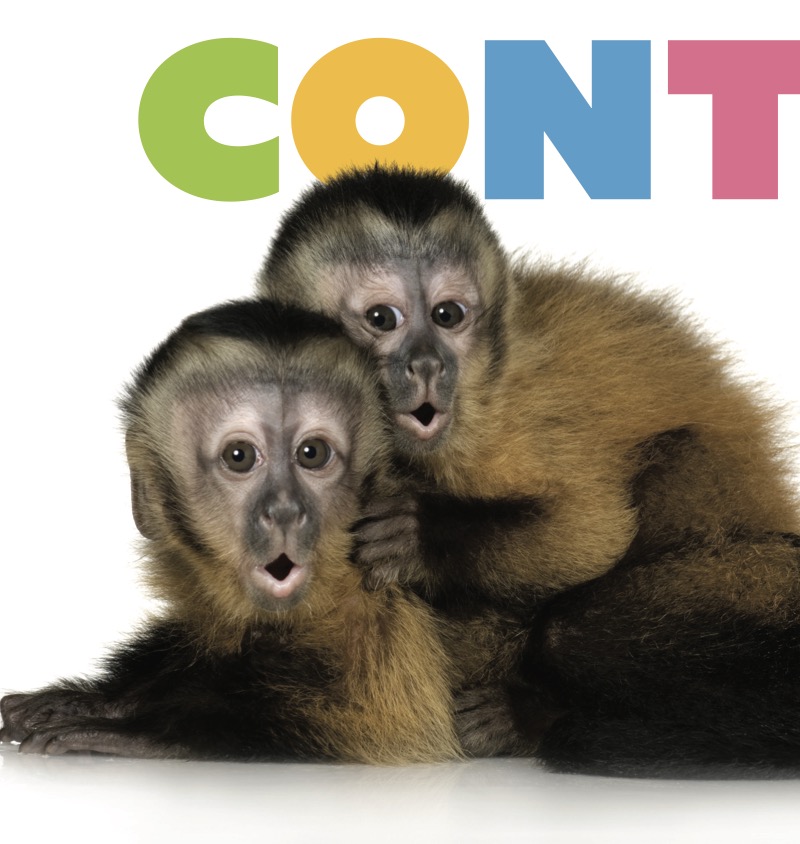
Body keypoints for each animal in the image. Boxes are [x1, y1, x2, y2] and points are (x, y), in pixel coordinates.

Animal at [0, 299, 461, 764]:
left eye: (312, 453)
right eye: (239, 456)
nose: (285, 510)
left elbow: (388, 722)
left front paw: (143, 726)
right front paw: (105, 699)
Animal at [255, 165, 800, 775]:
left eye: (448, 315)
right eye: (381, 319)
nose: (427, 364)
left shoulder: (515, 413)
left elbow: (588, 530)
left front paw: (422, 537)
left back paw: (531, 717)